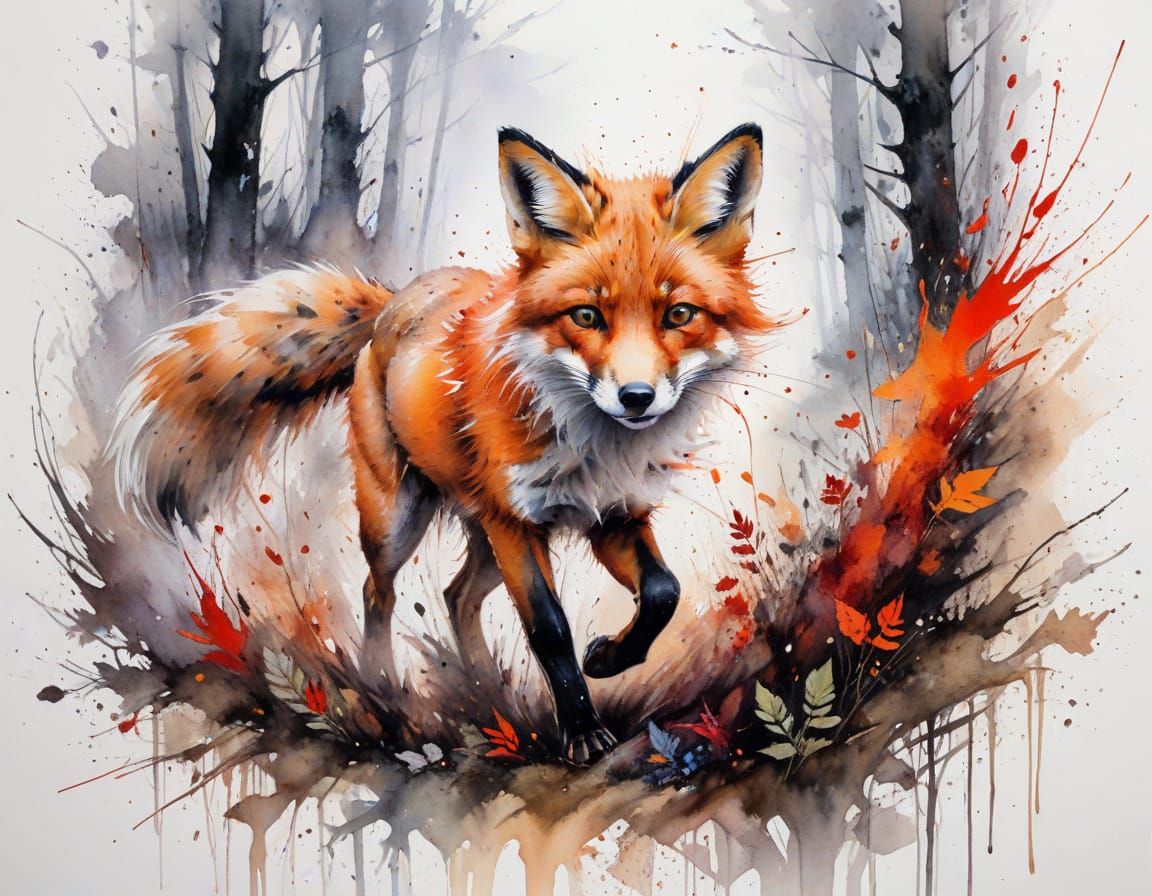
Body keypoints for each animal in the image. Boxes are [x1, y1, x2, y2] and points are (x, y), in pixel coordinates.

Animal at [110, 123, 776, 763]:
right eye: (586, 317)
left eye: (678, 315)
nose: (636, 397)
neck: (590, 446)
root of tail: (392, 304)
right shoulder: (516, 522)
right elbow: (550, 628)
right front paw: (583, 732)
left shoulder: (611, 515)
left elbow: (663, 592)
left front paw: (609, 658)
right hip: (400, 519)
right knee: (377, 592)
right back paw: (385, 685)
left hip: (485, 535)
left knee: (458, 598)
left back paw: (487, 689)